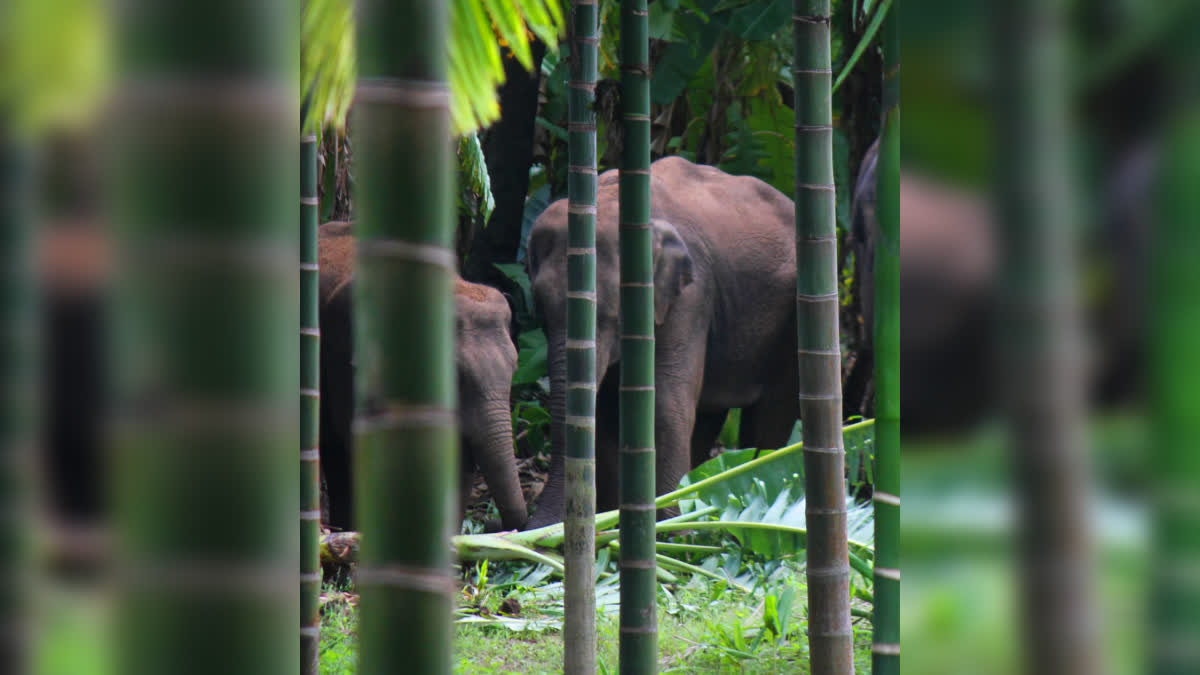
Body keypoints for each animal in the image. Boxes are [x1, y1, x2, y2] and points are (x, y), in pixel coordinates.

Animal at [525, 156, 800, 529]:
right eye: (539, 309)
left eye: (612, 312)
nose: (523, 527)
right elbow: (611, 410)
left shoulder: (691, 296)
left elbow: (664, 404)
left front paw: (663, 529)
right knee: (708, 415)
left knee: (771, 414)